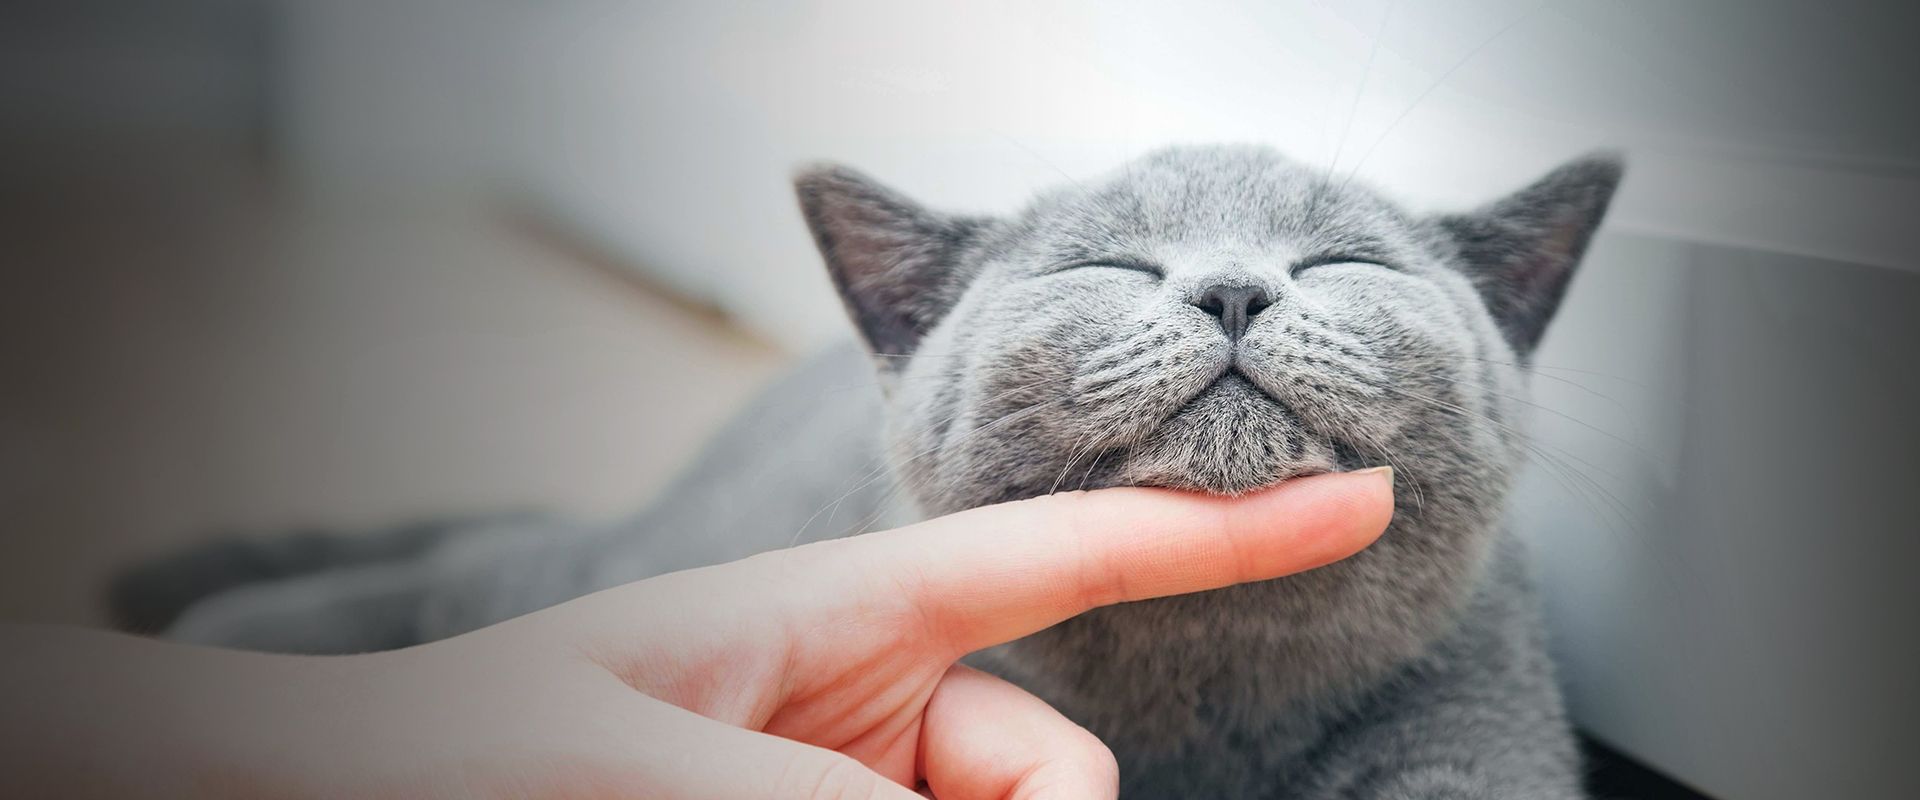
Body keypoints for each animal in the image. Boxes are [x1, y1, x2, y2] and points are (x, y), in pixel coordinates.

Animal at [120, 144, 1620, 798]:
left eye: (1343, 262)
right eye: (1109, 263)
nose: (1236, 288)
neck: (1203, 711)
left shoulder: (1479, 735)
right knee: (494, 565)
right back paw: (225, 630)